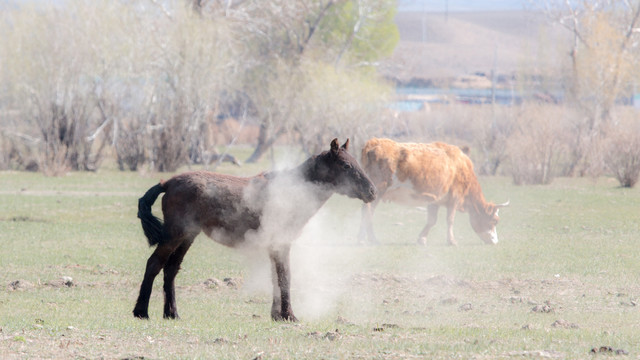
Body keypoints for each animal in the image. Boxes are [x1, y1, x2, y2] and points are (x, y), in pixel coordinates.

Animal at [134, 139, 376, 322]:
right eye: (346, 166)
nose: (372, 191)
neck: (293, 190)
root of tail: (168, 183)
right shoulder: (281, 243)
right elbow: (285, 277)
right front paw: (290, 316)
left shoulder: (274, 246)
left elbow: (276, 277)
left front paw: (277, 315)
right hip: (174, 235)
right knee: (154, 264)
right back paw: (141, 312)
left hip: (187, 236)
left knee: (171, 269)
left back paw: (172, 313)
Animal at [358, 138, 508, 245]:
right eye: (495, 220)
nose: (495, 241)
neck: (461, 167)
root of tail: (374, 142)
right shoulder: (454, 198)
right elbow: (450, 220)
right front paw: (451, 241)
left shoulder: (434, 200)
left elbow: (432, 220)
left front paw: (422, 239)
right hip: (378, 190)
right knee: (368, 211)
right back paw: (371, 238)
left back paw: (363, 237)